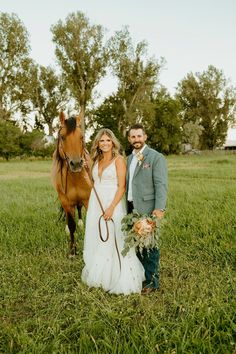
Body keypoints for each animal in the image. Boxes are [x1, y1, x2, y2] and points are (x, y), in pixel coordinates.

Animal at [51, 112, 92, 256]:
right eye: (62, 137)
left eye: (82, 137)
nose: (77, 164)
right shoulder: (66, 202)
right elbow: (71, 224)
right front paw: (73, 251)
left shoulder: (88, 199)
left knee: (78, 209)